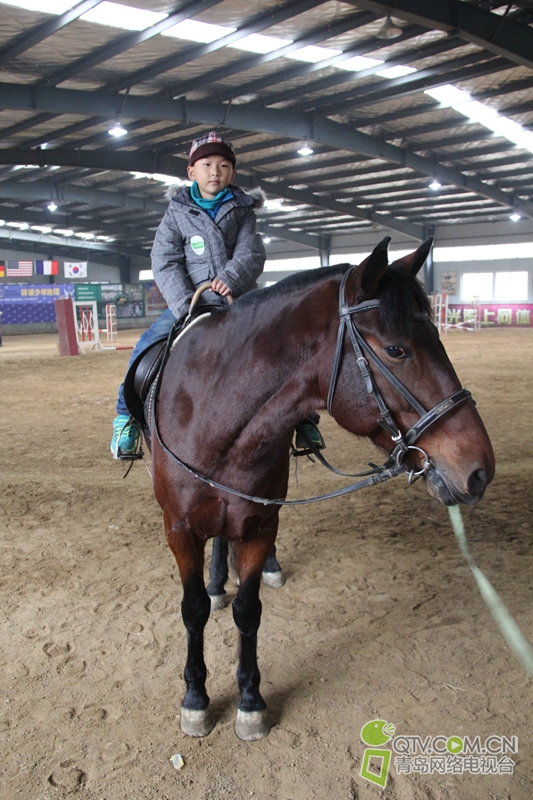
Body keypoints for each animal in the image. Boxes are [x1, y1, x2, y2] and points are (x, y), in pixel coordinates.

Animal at [150, 238, 494, 744]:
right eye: (396, 349)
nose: (479, 469)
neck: (212, 416)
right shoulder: (178, 528)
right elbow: (192, 610)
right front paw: (195, 698)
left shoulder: (260, 523)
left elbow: (248, 611)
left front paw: (250, 701)